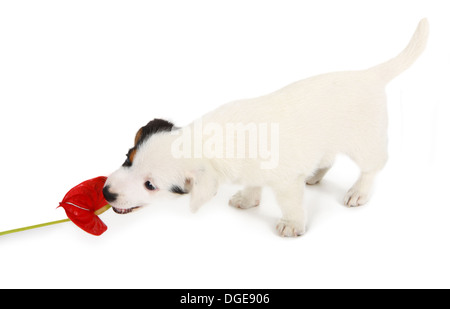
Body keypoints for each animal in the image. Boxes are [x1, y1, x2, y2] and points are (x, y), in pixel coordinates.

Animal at [103, 19, 428, 236]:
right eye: (127, 159)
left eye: (150, 185)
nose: (106, 193)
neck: (209, 140)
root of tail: (370, 75)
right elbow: (252, 183)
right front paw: (248, 198)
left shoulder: (285, 183)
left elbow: (290, 203)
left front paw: (292, 224)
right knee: (327, 158)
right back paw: (315, 174)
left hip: (365, 142)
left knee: (373, 167)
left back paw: (358, 191)